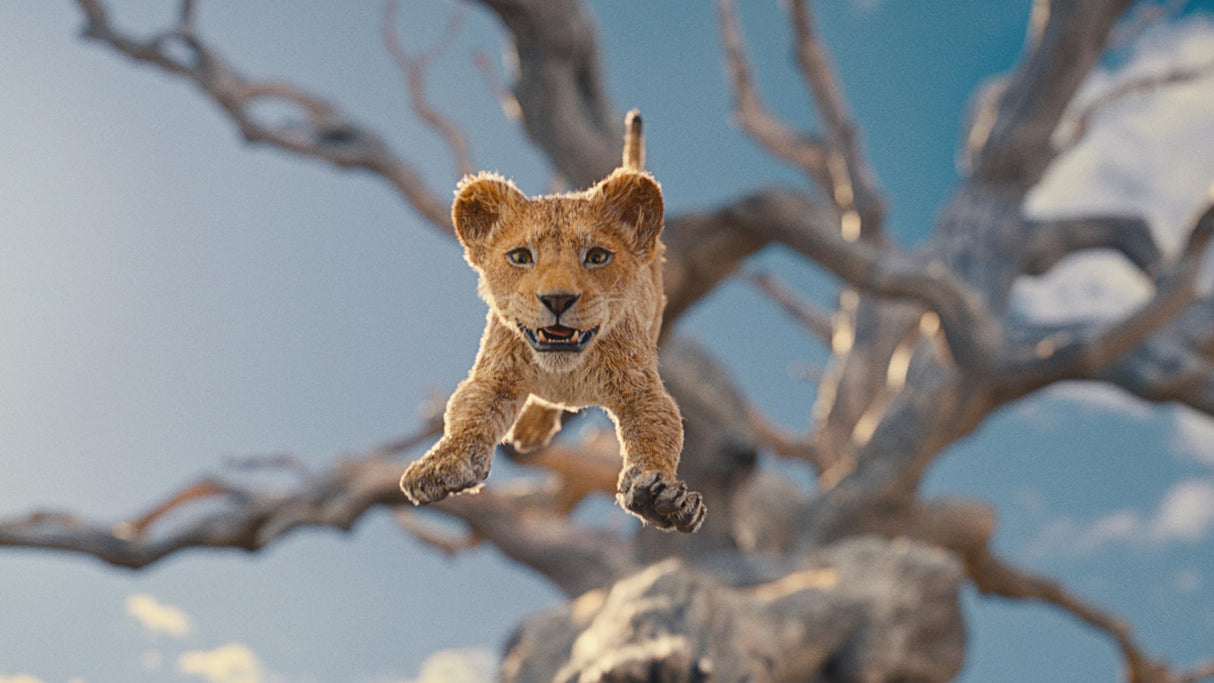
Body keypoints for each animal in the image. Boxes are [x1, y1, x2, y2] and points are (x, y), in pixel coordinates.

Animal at [399, 111, 705, 533]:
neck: (564, 371)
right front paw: (440, 464)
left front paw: (659, 497)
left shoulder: (641, 389)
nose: (557, 299)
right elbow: (467, 415)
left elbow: (658, 431)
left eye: (596, 256)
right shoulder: (494, 375)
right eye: (520, 257)